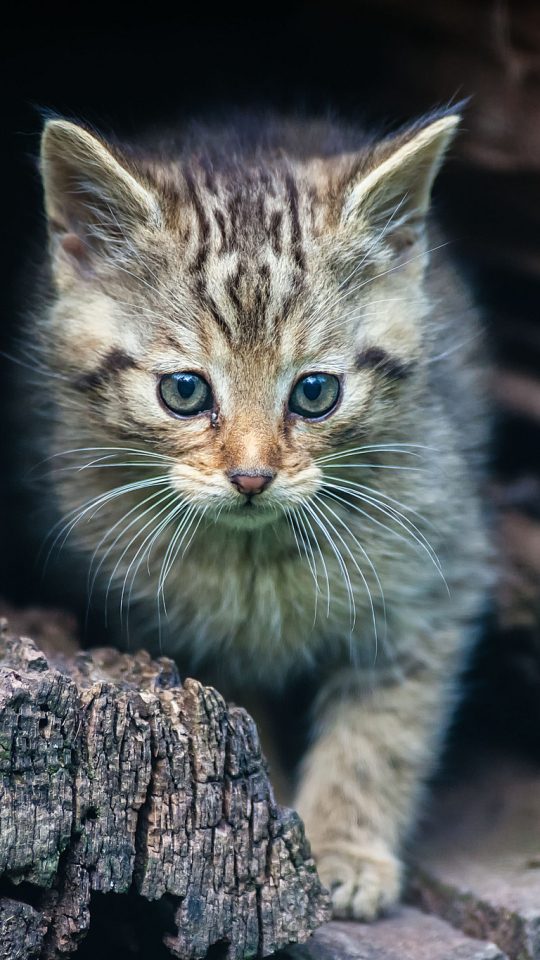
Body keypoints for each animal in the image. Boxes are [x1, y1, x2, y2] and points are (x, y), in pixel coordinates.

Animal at [28, 114, 494, 924]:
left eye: (315, 392)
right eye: (184, 391)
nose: (251, 475)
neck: (259, 555)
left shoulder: (431, 579)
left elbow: (382, 730)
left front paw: (345, 851)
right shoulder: (169, 627)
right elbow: (235, 730)